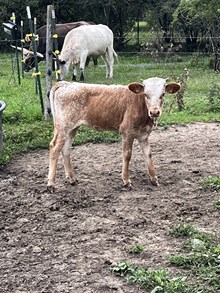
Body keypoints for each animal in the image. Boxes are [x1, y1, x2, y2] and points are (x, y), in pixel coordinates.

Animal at [47, 77, 180, 192]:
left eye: (163, 94)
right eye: (145, 95)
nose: (154, 112)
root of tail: (66, 84)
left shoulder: (144, 134)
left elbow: (148, 154)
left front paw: (154, 179)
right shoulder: (127, 132)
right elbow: (127, 155)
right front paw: (126, 180)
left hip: (72, 128)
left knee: (66, 149)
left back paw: (72, 179)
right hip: (63, 125)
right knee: (55, 147)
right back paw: (51, 184)